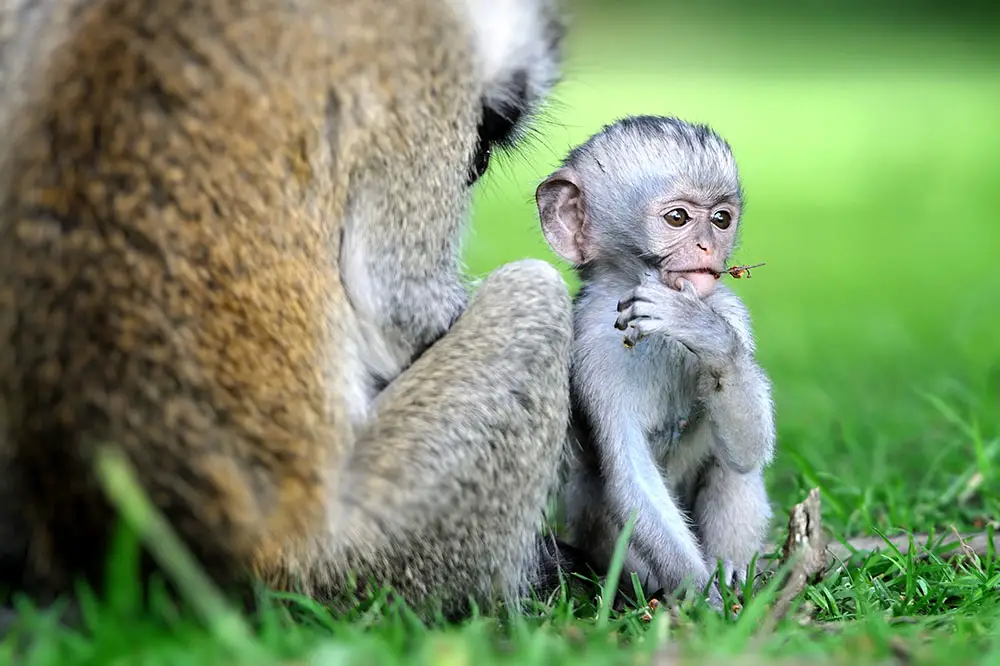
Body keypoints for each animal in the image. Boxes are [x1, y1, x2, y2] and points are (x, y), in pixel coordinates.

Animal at [0, 0, 576, 616]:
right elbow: (404, 312)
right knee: (536, 292)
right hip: (352, 561)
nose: (477, 161)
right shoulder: (428, 56)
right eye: (491, 124)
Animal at [536, 115, 776, 608]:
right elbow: (630, 476)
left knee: (731, 467)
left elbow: (747, 452)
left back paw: (736, 574)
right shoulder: (588, 345)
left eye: (721, 219)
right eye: (678, 218)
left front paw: (699, 330)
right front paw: (706, 602)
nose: (707, 248)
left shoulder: (731, 310)